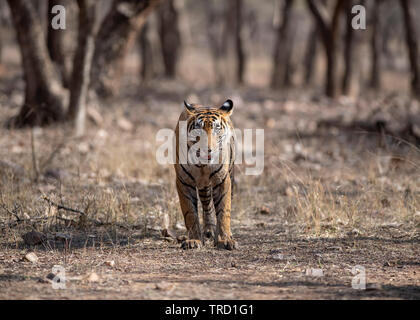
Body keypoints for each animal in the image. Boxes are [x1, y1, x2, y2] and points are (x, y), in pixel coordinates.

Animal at [173, 99, 236, 250]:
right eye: (198, 129)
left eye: (217, 128)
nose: (207, 150)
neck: (203, 166)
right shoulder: (183, 182)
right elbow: (190, 213)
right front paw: (194, 240)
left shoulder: (223, 180)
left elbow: (224, 211)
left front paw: (225, 239)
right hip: (203, 185)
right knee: (207, 204)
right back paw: (209, 230)